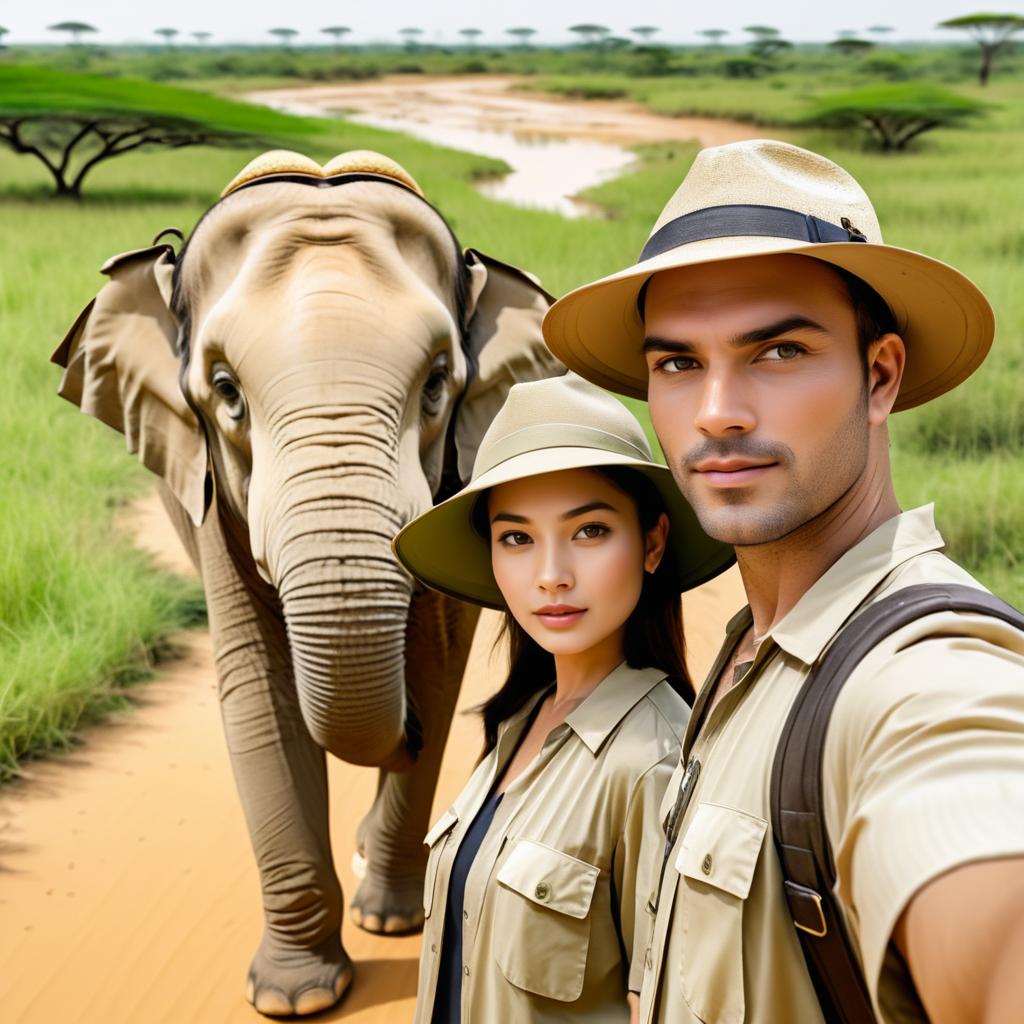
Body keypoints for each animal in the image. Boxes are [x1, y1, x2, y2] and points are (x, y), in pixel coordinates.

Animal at [54, 146, 569, 1015]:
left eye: (438, 383)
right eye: (225, 392)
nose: (406, 735)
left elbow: (438, 667)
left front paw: (392, 923)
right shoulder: (209, 493)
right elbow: (257, 687)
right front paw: (295, 1000)